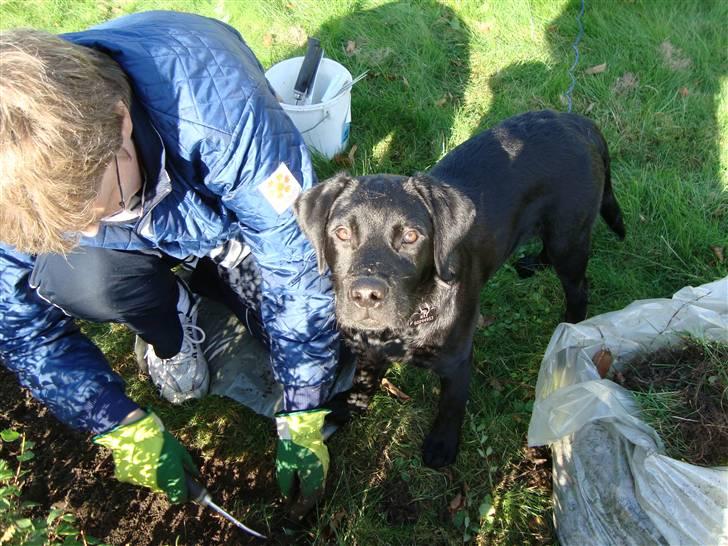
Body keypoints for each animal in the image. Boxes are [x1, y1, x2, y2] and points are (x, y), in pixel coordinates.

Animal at [292, 108, 624, 466]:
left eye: (411, 236)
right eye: (341, 233)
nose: (366, 294)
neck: (410, 321)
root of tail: (575, 120)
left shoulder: (457, 360)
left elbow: (451, 405)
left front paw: (441, 445)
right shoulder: (367, 348)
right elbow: (362, 382)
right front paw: (344, 408)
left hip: (569, 238)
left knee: (579, 289)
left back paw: (571, 329)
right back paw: (533, 265)